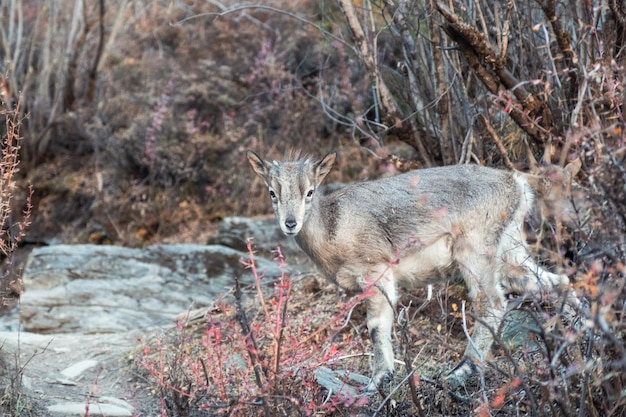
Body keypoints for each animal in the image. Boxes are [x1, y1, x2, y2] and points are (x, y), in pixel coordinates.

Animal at [246, 151, 576, 392]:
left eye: (310, 192)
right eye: (272, 192)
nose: (290, 223)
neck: (333, 227)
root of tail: (517, 182)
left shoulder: (377, 272)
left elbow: (376, 326)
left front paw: (379, 380)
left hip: (476, 251)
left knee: (492, 303)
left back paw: (459, 373)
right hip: (511, 252)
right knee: (556, 281)